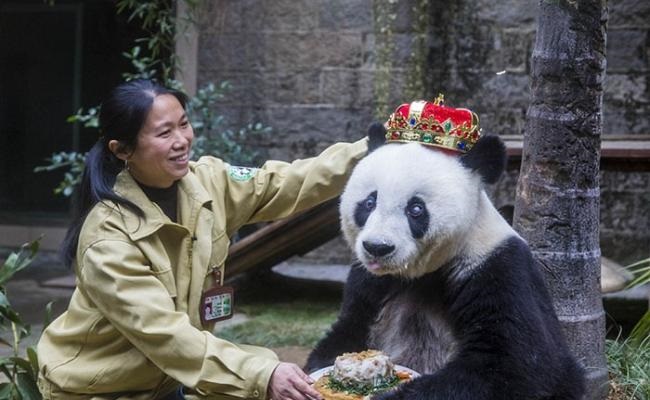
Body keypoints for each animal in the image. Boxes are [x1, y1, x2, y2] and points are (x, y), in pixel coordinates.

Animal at [306, 122, 584, 400]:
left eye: (416, 209)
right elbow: (349, 327)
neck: (420, 272)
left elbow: (515, 364)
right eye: (369, 202)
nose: (377, 247)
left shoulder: (498, 268)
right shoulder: (370, 280)